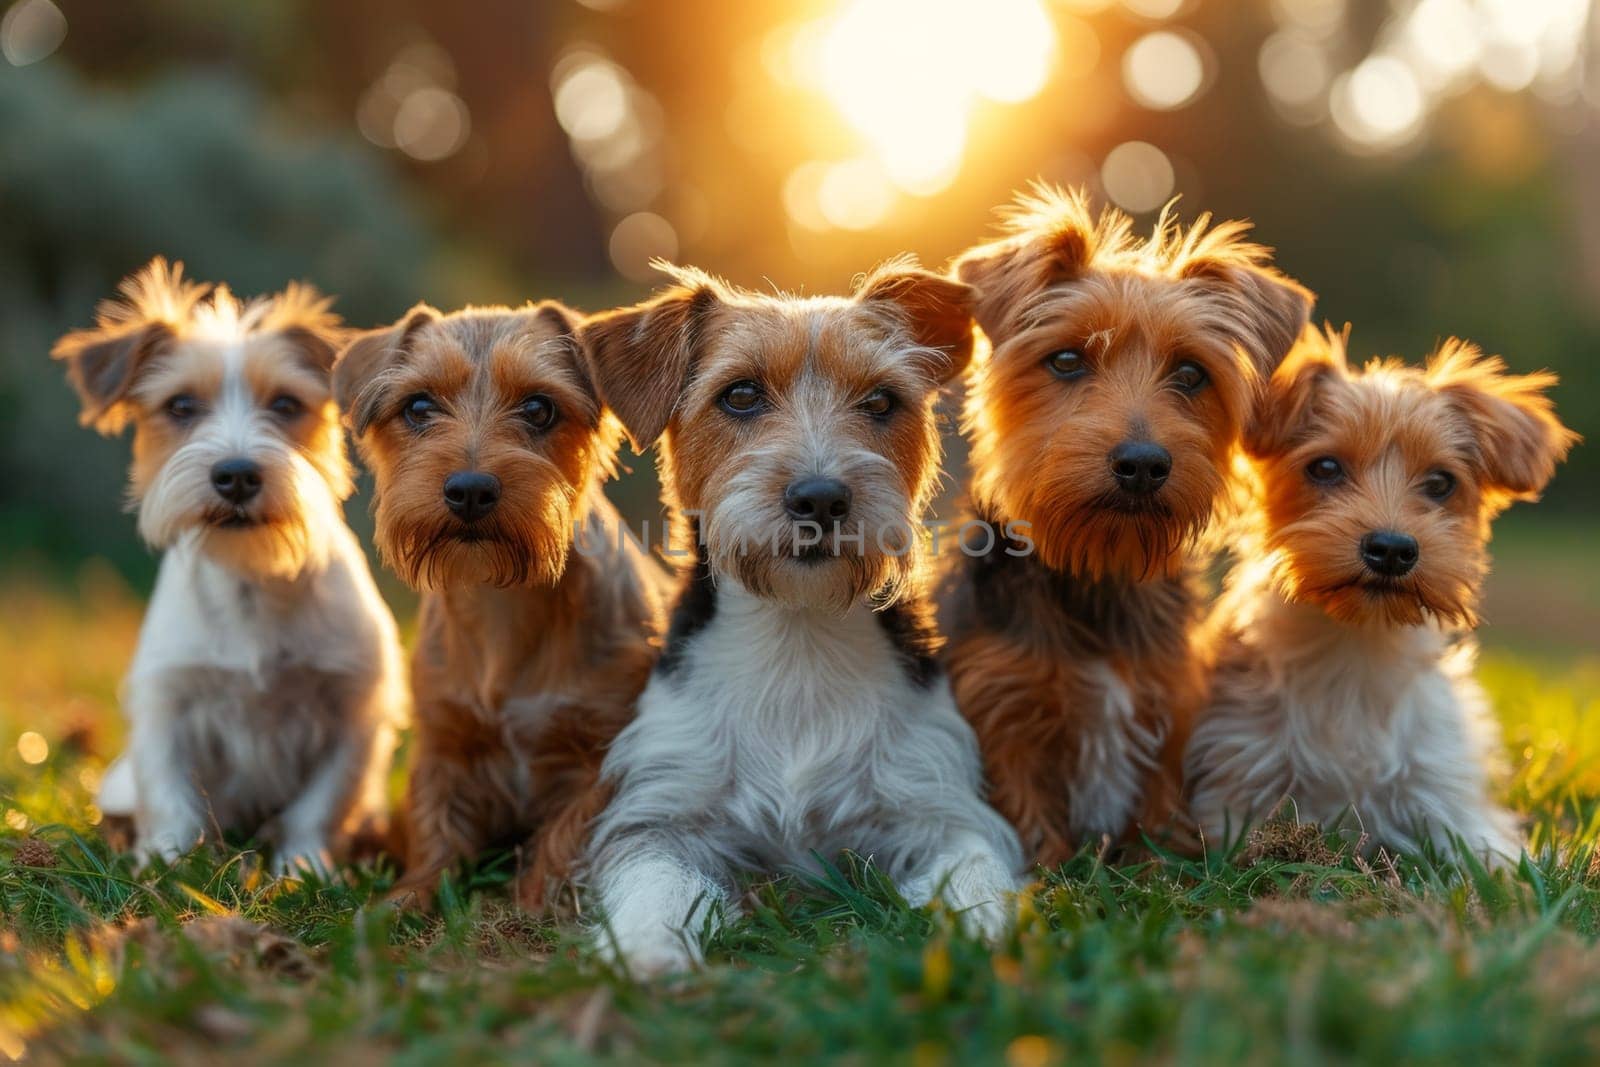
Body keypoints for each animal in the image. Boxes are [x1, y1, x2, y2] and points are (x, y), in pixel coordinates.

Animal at [54, 260, 409, 876]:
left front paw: (304, 868)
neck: (253, 580)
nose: (237, 475)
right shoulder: (168, 702)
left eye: (286, 404)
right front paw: (166, 866)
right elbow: (170, 796)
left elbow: (321, 803)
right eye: (179, 406)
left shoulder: (354, 706)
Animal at [334, 300, 665, 908]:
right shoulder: (443, 742)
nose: (469, 489)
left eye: (538, 407)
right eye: (418, 406)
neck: (501, 600)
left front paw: (532, 904)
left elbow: (567, 835)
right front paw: (405, 899)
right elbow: (434, 831)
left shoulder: (607, 754)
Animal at [582, 260, 1017, 979]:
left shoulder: (938, 806)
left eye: (881, 402)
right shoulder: (663, 814)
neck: (799, 635)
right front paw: (647, 946)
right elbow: (656, 880)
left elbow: (977, 868)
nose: (821, 498)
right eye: (740, 395)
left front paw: (986, 929)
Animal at [934, 185, 1312, 870]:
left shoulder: (1169, 700)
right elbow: (1027, 818)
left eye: (1190, 373)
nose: (1142, 463)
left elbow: (1158, 813)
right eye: (1065, 360)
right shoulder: (1000, 708)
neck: (1097, 563)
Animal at [1190, 329, 1574, 863]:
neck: (1356, 650)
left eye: (1440, 482)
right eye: (1324, 467)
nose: (1391, 549)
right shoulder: (1239, 783)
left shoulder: (1448, 801)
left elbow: (1493, 860)